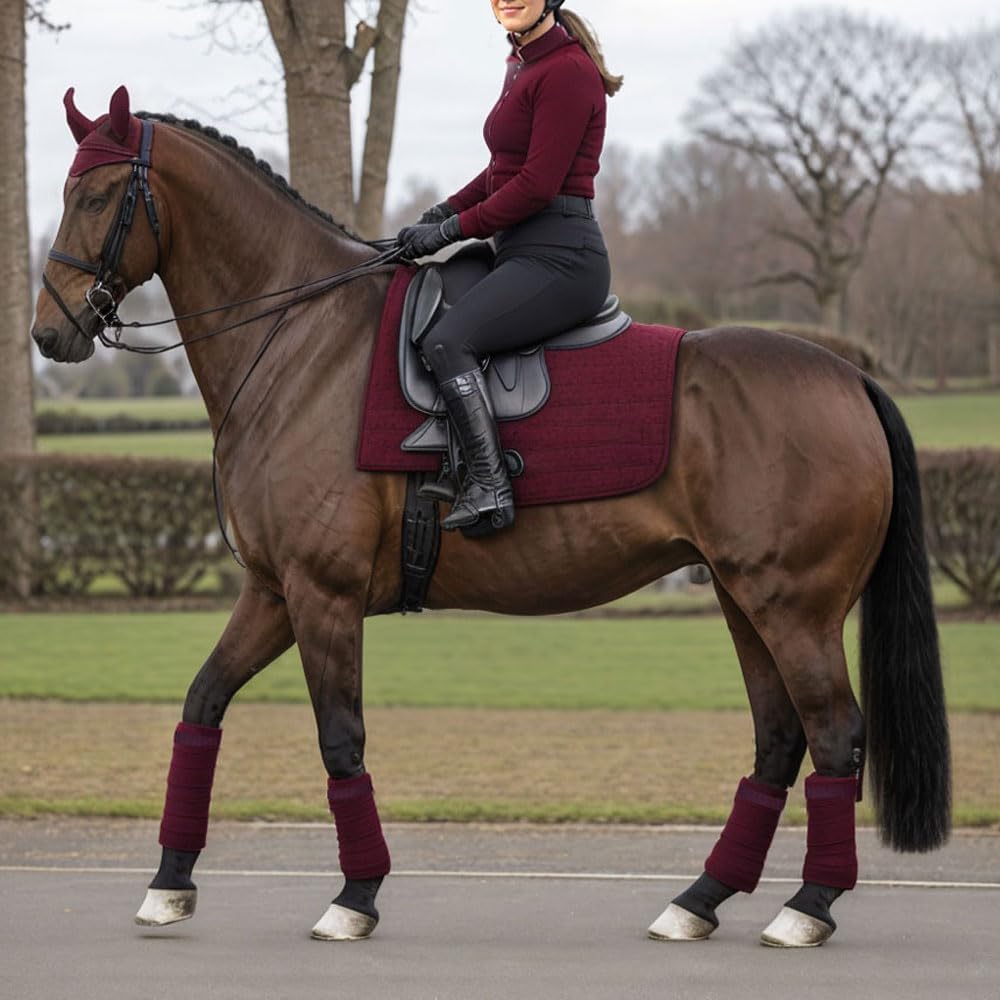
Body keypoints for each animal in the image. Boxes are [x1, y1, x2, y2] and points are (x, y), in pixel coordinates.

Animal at [31, 87, 950, 948]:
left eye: (101, 194)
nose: (50, 332)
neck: (300, 340)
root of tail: (849, 376)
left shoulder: (322, 595)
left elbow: (341, 740)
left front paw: (355, 896)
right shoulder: (273, 592)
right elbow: (202, 705)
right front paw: (170, 881)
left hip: (792, 606)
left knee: (834, 735)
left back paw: (808, 906)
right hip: (742, 597)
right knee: (778, 739)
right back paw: (701, 900)